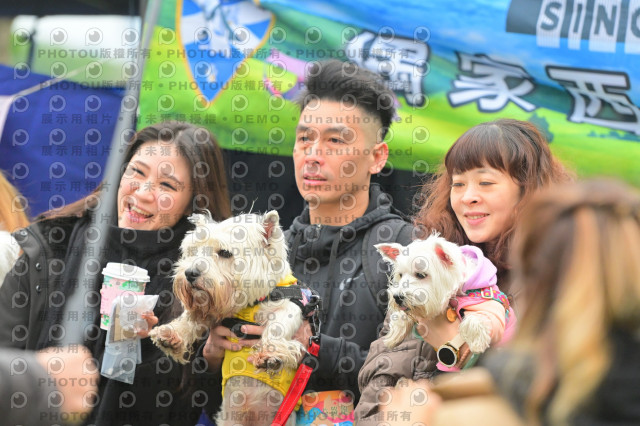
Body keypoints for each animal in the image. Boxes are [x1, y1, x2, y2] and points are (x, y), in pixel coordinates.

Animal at [150, 210, 317, 426]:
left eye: (225, 253)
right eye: (195, 251)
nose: (190, 273)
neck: (248, 304)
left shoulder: (292, 306)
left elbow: (277, 325)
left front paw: (269, 354)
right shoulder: (213, 309)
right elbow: (191, 318)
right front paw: (171, 335)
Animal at [376, 234, 513, 361]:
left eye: (421, 275)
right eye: (400, 275)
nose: (397, 297)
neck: (458, 293)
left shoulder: (494, 311)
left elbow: (479, 318)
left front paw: (477, 342)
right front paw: (393, 335)